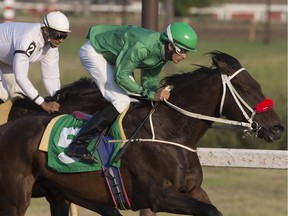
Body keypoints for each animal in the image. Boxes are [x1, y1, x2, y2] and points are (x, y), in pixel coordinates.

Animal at [0, 51, 284, 215]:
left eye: (257, 84)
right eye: (245, 88)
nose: (277, 127)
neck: (169, 131)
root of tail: (6, 129)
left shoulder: (193, 190)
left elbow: (213, 209)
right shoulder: (160, 197)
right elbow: (211, 211)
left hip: (55, 193)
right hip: (15, 198)